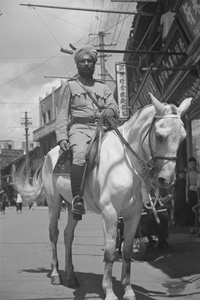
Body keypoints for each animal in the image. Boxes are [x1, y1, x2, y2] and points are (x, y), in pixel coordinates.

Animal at [13, 94, 191, 300]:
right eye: (160, 136)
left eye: (183, 138)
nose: (166, 179)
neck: (126, 162)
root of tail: (51, 154)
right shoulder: (110, 213)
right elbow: (110, 252)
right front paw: (109, 291)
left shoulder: (133, 215)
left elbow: (127, 251)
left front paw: (128, 290)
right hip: (54, 202)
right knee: (54, 233)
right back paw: (57, 274)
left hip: (71, 206)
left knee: (68, 235)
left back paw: (71, 276)